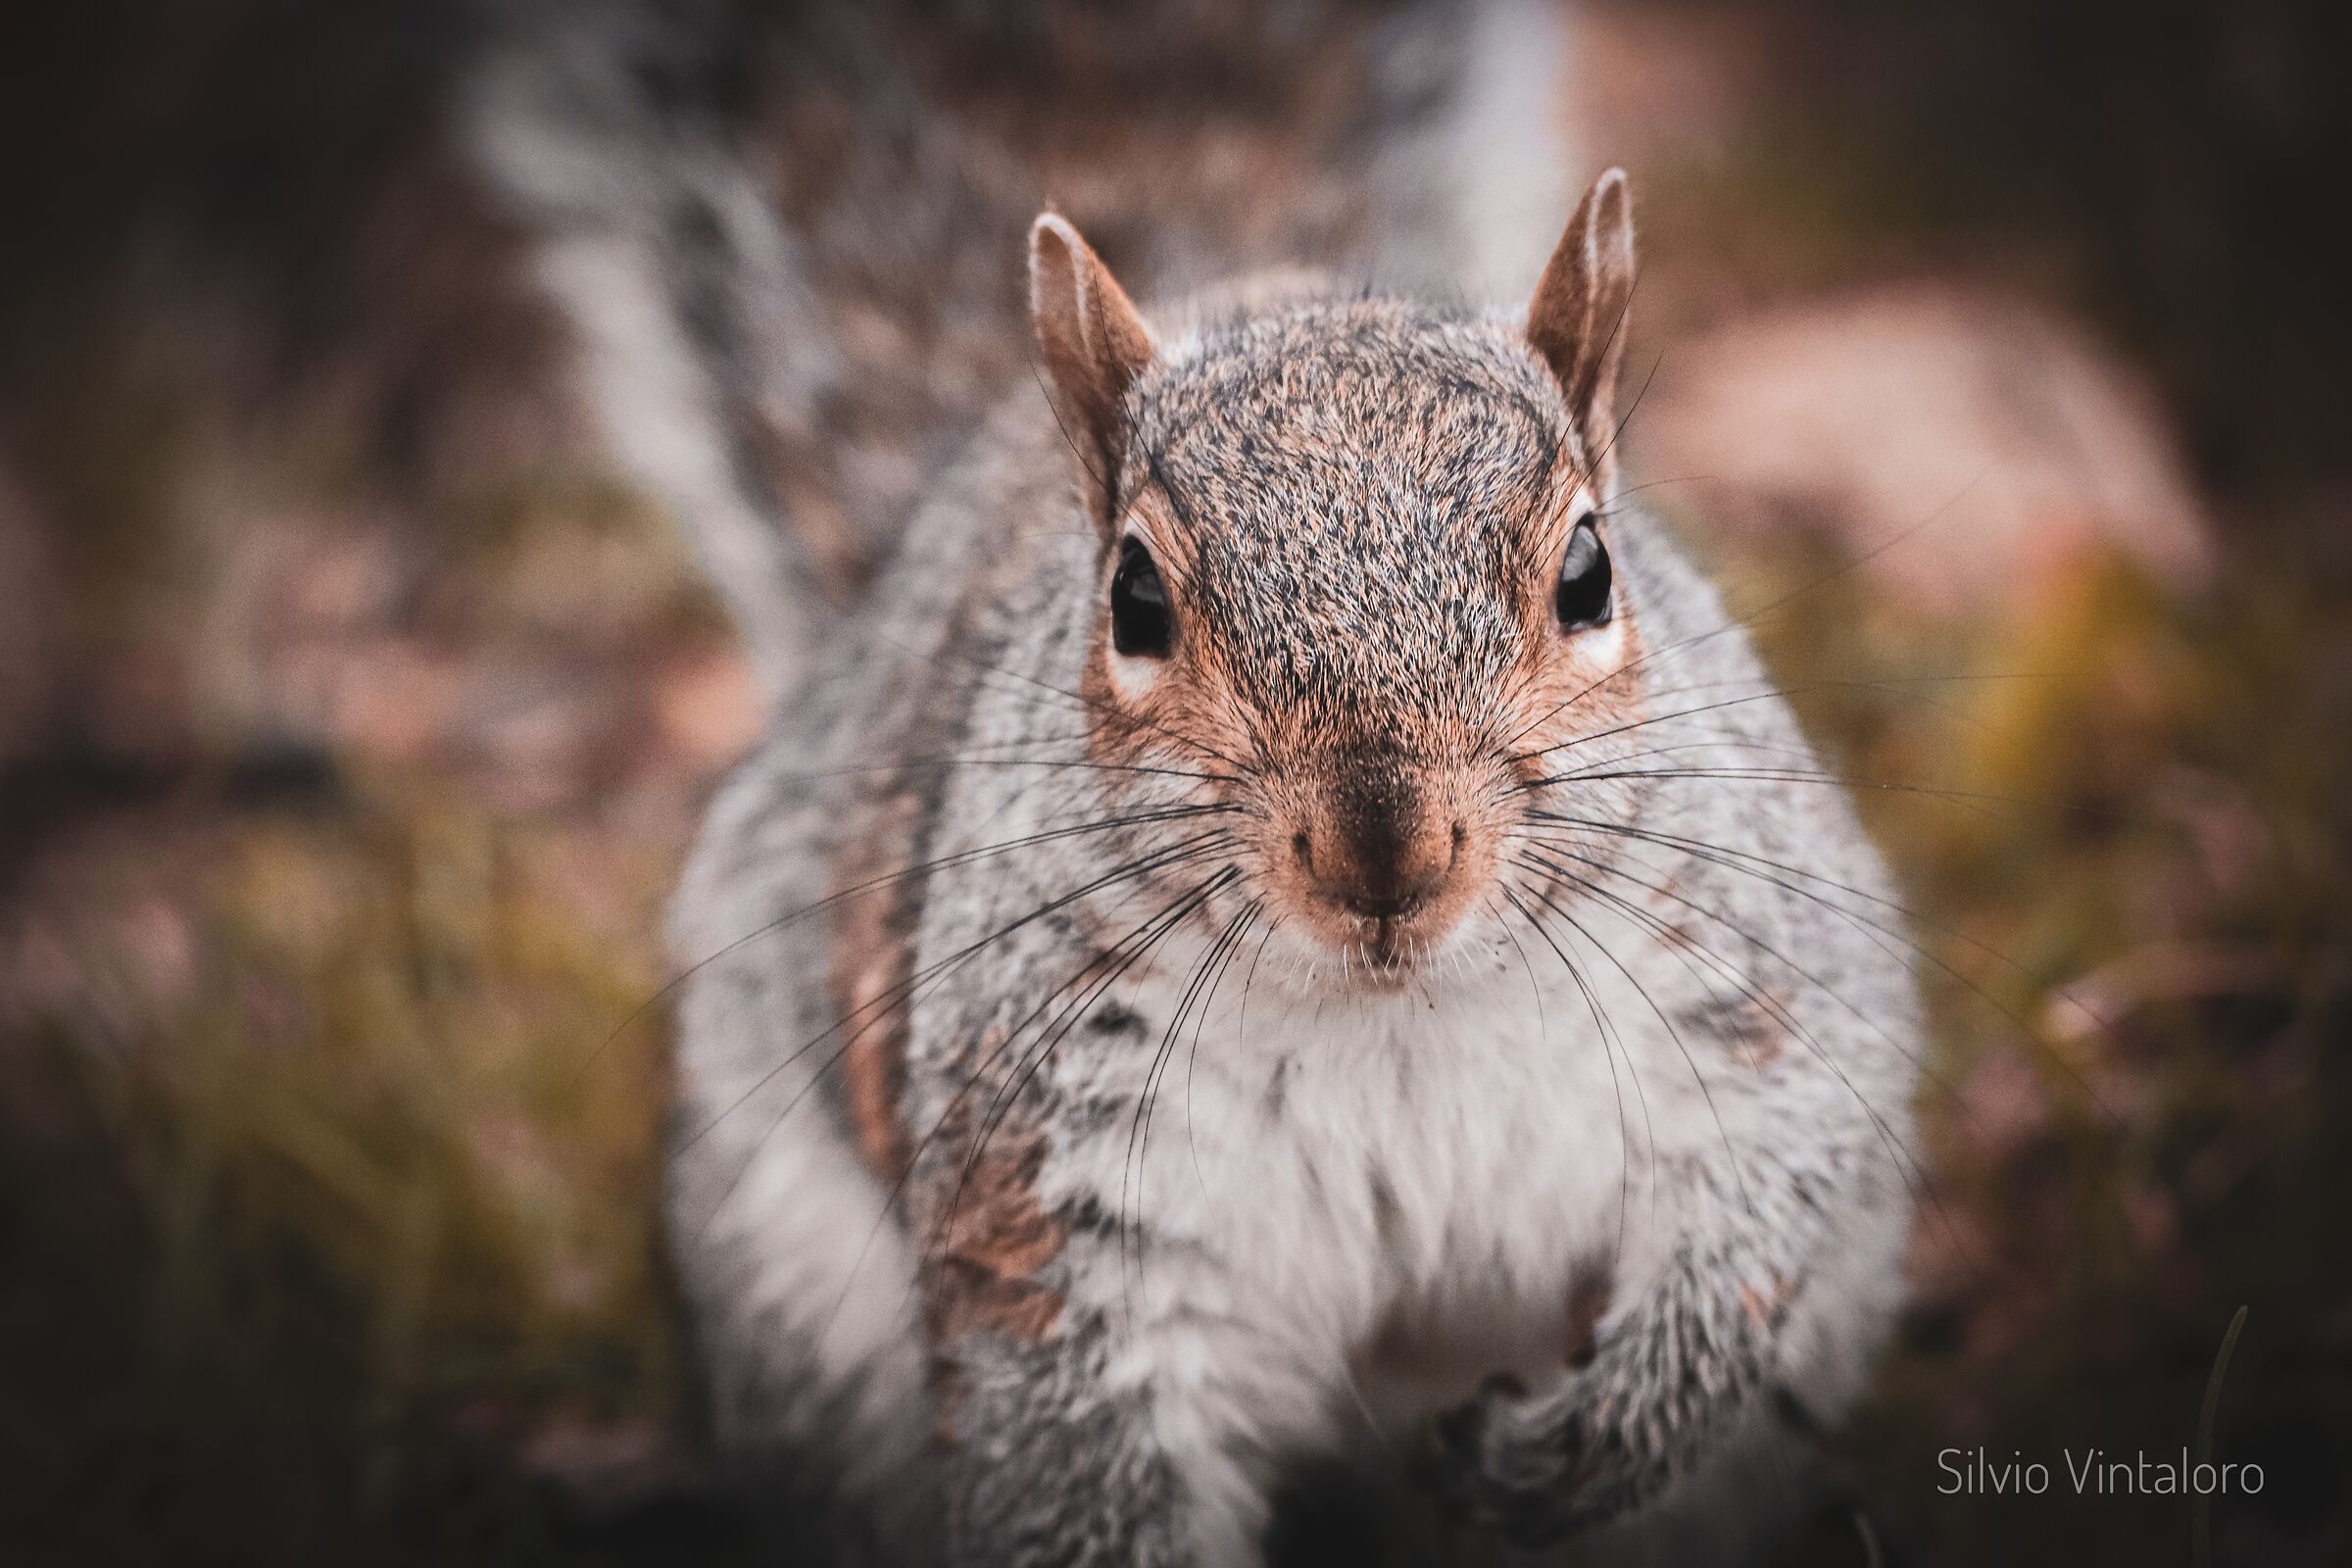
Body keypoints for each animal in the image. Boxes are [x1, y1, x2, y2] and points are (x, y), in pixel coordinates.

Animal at [472, 3, 1922, 1564]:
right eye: (1134, 600)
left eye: (1591, 571)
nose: (1383, 853)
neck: (1395, 1009)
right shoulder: (1056, 1200)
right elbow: (1083, 1456)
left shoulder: (1746, 980)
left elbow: (1768, 1188)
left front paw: (1602, 1428)